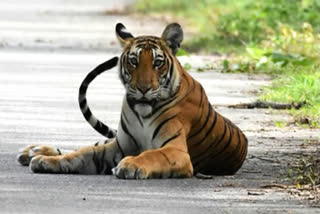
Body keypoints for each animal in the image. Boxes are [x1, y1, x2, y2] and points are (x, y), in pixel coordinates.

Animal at [15, 22, 248, 178]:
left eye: (157, 63)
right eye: (134, 61)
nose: (143, 89)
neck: (142, 111)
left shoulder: (177, 151)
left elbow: (152, 155)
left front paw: (131, 166)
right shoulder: (118, 146)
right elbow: (80, 153)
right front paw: (46, 161)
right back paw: (33, 151)